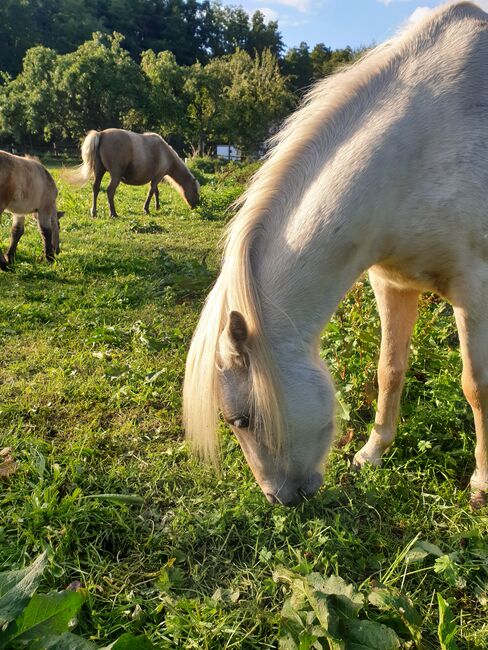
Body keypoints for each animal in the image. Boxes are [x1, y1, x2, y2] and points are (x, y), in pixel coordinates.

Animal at [68, 127, 200, 218]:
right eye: (195, 190)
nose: (196, 206)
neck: (165, 153)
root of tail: (101, 134)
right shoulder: (157, 177)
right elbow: (151, 192)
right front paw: (146, 209)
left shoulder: (156, 178)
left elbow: (156, 192)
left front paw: (157, 207)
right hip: (115, 176)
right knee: (110, 191)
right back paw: (113, 213)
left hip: (99, 172)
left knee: (96, 188)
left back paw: (94, 212)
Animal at [183, 1, 488, 506]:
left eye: (240, 419)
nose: (280, 499)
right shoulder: (392, 283)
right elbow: (389, 370)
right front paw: (371, 453)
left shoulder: (475, 290)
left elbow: (476, 385)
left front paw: (482, 483)